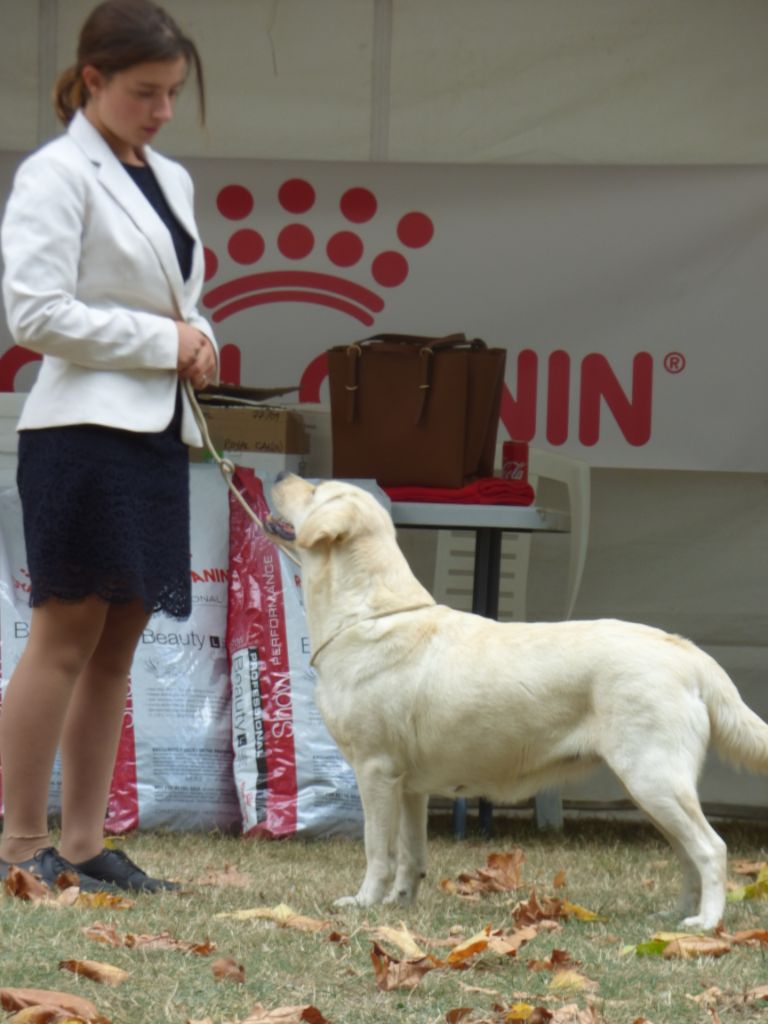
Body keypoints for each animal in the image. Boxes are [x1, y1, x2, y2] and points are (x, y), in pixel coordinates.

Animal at [270, 474, 768, 929]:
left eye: (314, 490)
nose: (279, 476)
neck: (367, 614)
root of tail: (688, 652)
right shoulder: (410, 785)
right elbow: (412, 854)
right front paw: (400, 903)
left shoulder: (376, 769)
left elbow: (377, 849)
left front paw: (365, 903)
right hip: (655, 789)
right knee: (687, 853)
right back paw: (676, 915)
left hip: (653, 777)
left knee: (711, 848)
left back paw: (706, 924)